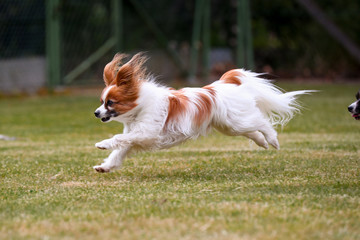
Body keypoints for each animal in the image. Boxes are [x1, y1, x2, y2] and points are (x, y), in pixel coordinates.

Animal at [93, 53, 312, 172]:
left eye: (110, 103)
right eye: (101, 102)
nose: (95, 113)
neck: (139, 107)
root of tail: (221, 84)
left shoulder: (146, 132)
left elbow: (118, 139)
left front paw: (102, 144)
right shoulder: (136, 136)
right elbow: (119, 152)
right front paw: (105, 167)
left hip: (236, 122)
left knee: (263, 123)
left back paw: (272, 141)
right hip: (229, 126)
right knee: (253, 131)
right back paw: (262, 142)